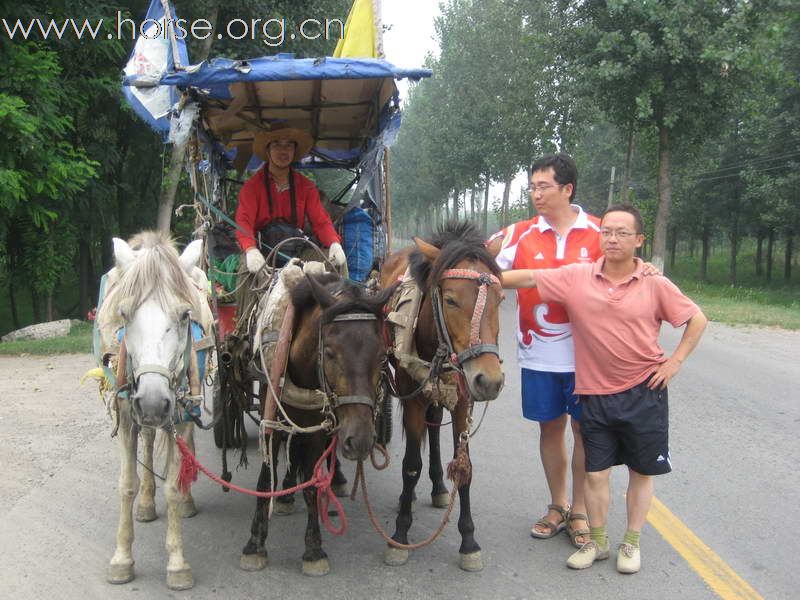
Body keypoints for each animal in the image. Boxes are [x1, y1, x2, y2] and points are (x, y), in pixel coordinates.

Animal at [95, 232, 212, 592]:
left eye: (185, 315)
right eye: (124, 313)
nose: (152, 402)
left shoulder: (183, 413)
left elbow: (173, 484)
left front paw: (177, 563)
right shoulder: (127, 415)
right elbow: (127, 484)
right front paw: (121, 559)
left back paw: (186, 501)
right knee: (147, 441)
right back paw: (146, 503)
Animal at [239, 272, 398, 576]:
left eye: (383, 356)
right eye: (331, 352)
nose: (360, 441)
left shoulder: (317, 427)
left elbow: (312, 484)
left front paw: (313, 550)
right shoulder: (271, 420)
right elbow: (265, 479)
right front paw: (255, 544)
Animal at [378, 221, 504, 572]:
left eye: (501, 298)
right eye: (450, 300)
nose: (490, 380)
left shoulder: (463, 400)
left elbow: (465, 467)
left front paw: (469, 542)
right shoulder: (411, 396)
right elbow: (410, 466)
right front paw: (401, 534)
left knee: (434, 424)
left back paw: (437, 486)